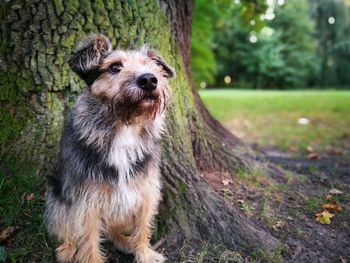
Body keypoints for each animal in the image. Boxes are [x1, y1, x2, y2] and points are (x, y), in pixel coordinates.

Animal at [44, 35, 175, 263]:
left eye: (150, 65)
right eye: (114, 67)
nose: (149, 80)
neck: (124, 125)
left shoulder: (145, 191)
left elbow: (143, 227)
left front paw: (144, 253)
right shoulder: (87, 201)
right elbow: (89, 242)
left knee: (113, 230)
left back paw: (125, 241)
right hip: (56, 197)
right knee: (66, 229)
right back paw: (67, 249)